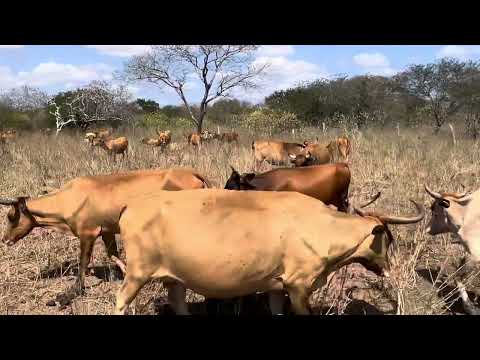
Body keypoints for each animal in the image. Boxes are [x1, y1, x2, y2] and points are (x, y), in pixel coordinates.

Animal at [111, 188, 424, 316]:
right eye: (388, 239)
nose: (387, 268)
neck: (322, 227)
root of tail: (131, 205)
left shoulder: (276, 285)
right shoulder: (298, 285)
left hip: (174, 277)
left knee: (178, 302)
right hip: (137, 273)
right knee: (121, 300)